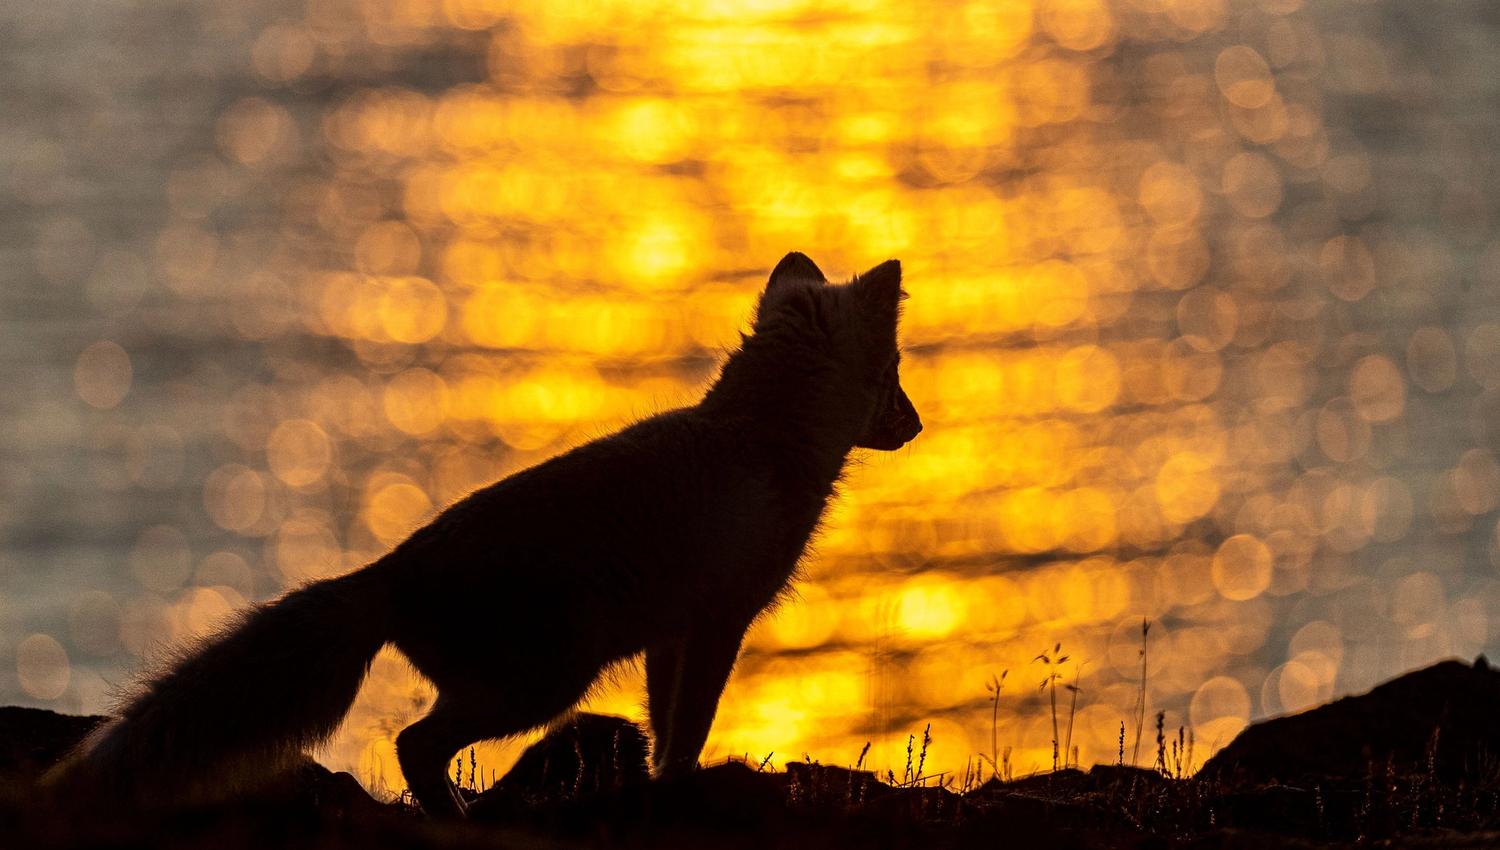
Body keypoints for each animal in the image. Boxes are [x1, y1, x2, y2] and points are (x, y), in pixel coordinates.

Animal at [49, 252, 921, 817]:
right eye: (897, 375)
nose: (917, 427)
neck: (759, 439)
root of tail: (389, 570)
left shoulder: (670, 633)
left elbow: (663, 725)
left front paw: (657, 785)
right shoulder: (718, 622)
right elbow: (689, 730)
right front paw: (683, 787)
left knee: (419, 745)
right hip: (543, 685)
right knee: (412, 744)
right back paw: (454, 824)